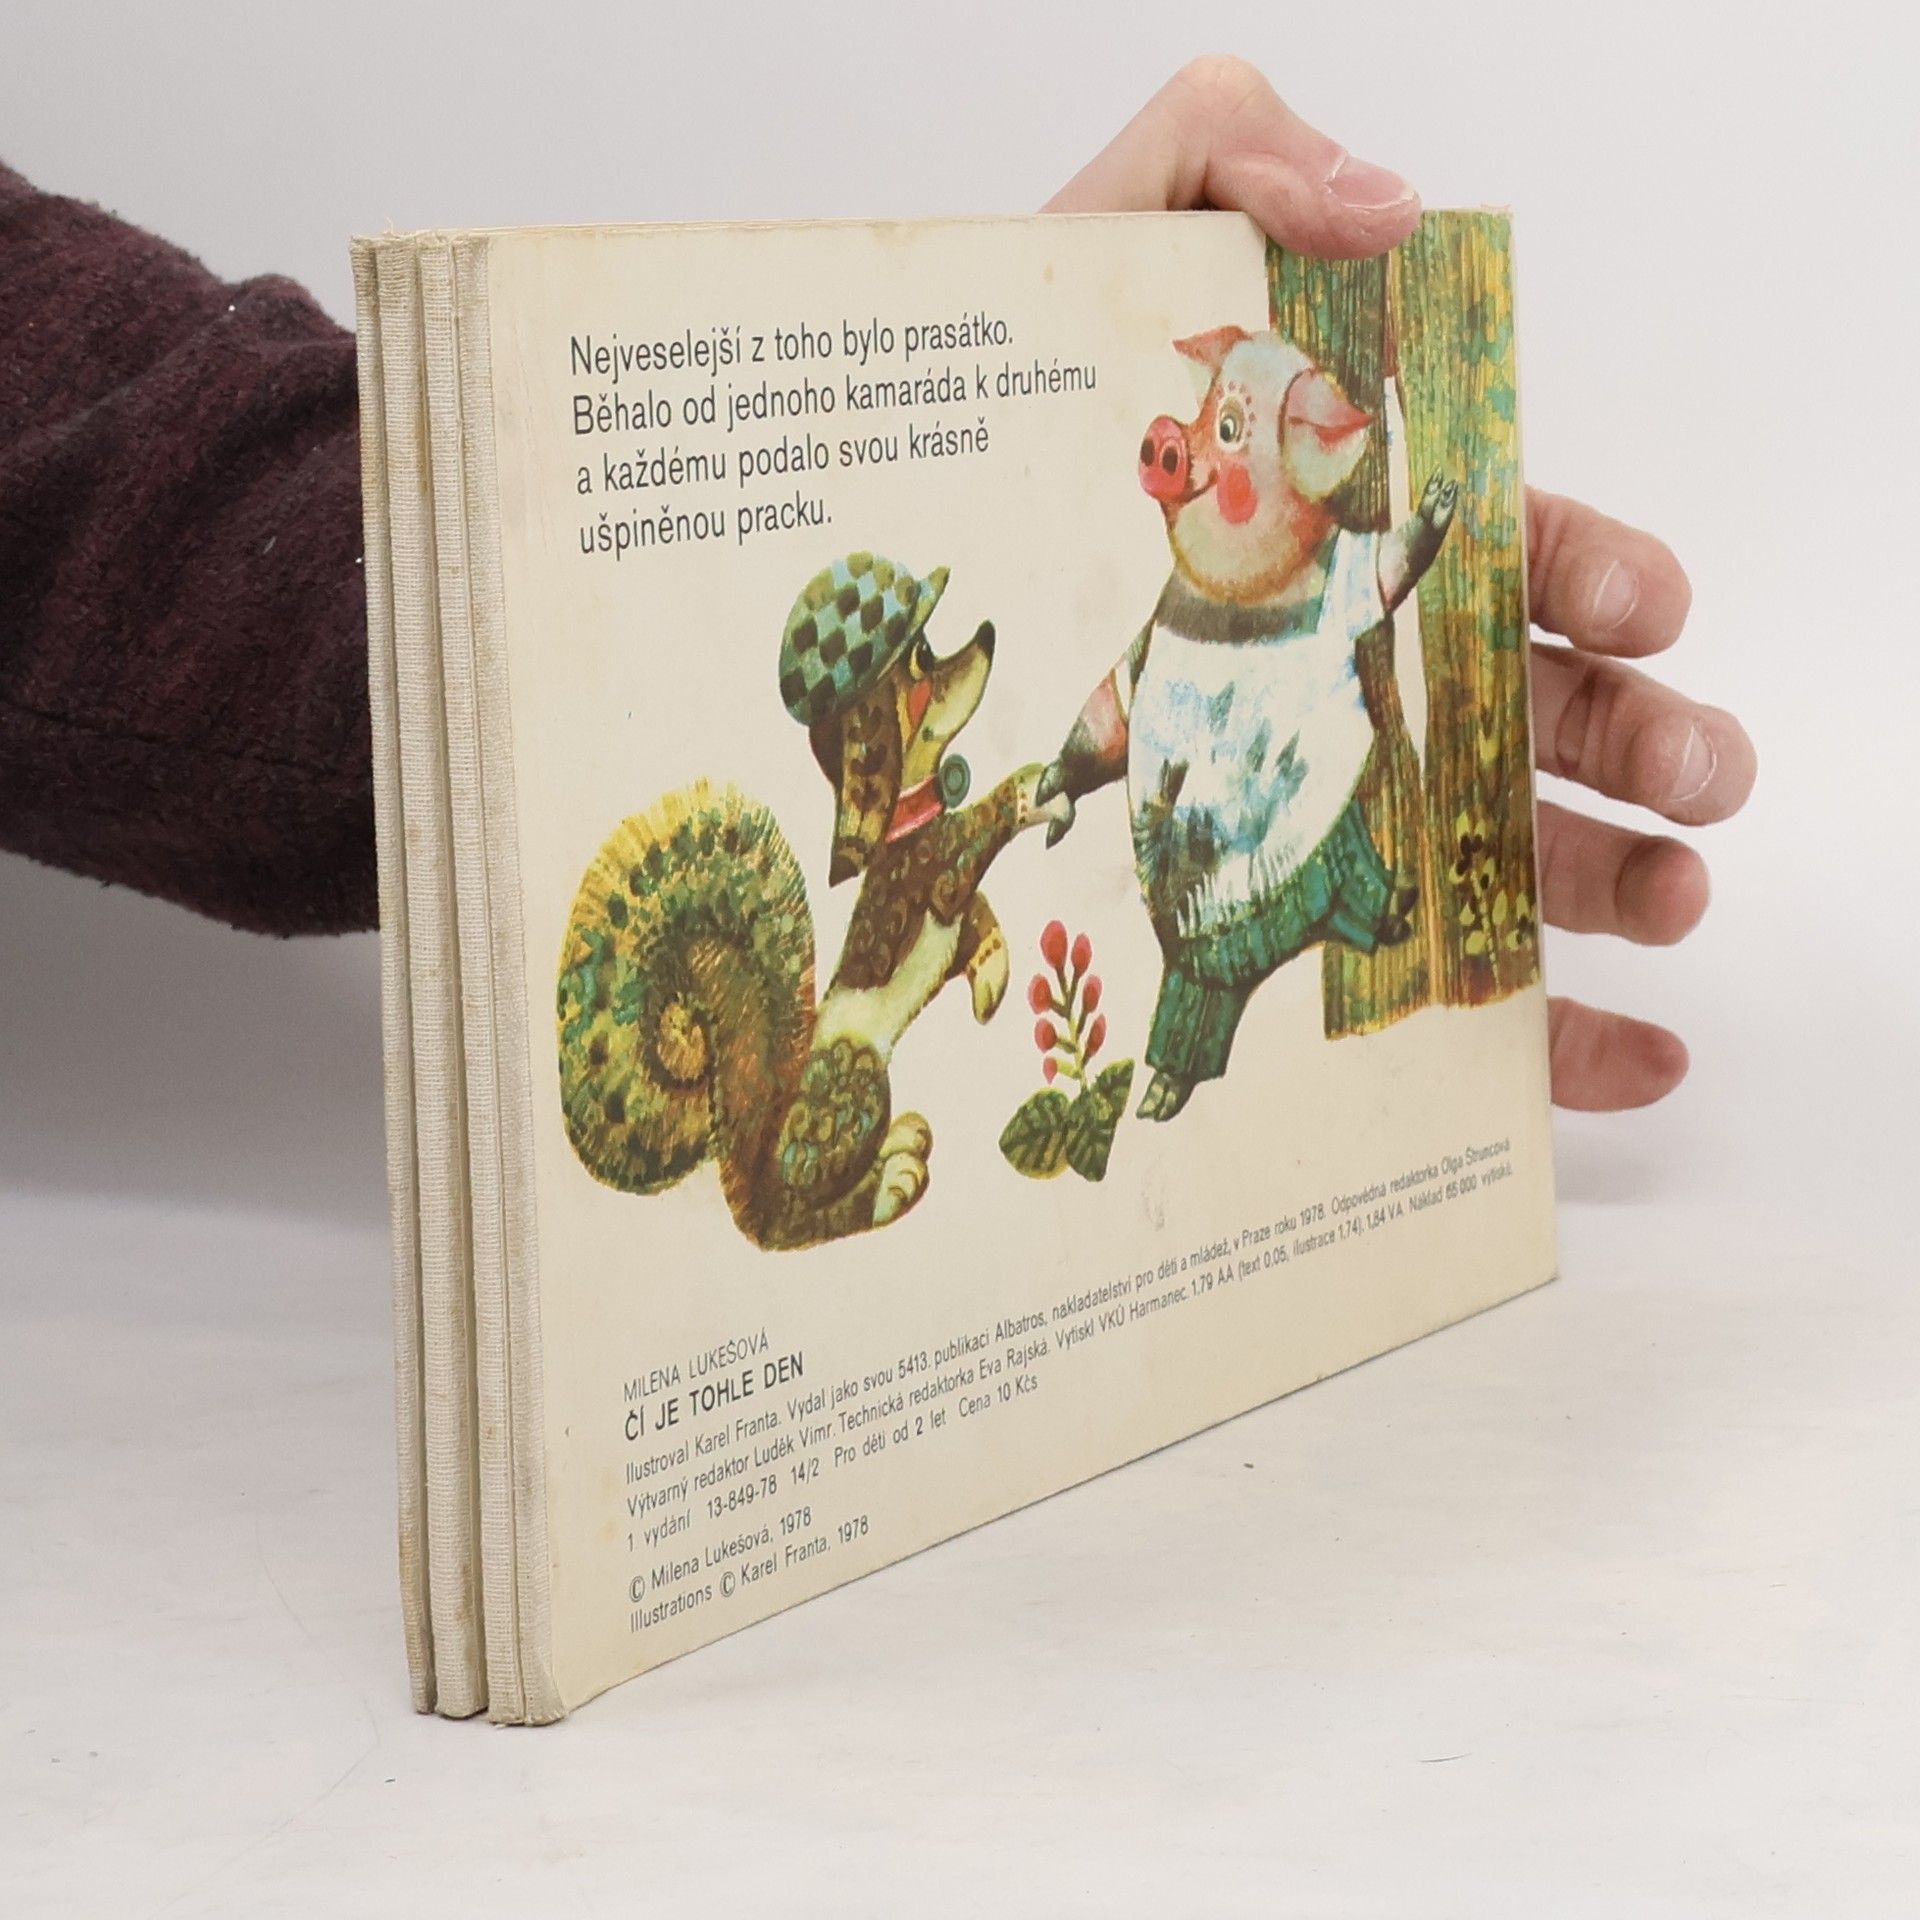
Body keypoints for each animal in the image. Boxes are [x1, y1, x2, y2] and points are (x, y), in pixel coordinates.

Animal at [1037, 325, 1457, 1121]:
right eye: (1204, 415)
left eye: (1231, 429)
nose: (1162, 436)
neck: (1234, 596)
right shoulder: (1147, 636)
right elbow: (1107, 714)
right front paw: (1050, 805)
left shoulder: (1346, 580)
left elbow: (1386, 570)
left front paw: (1443, 499)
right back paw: (1158, 1100)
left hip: (1324, 848)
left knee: (1345, 883)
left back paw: (1396, 910)